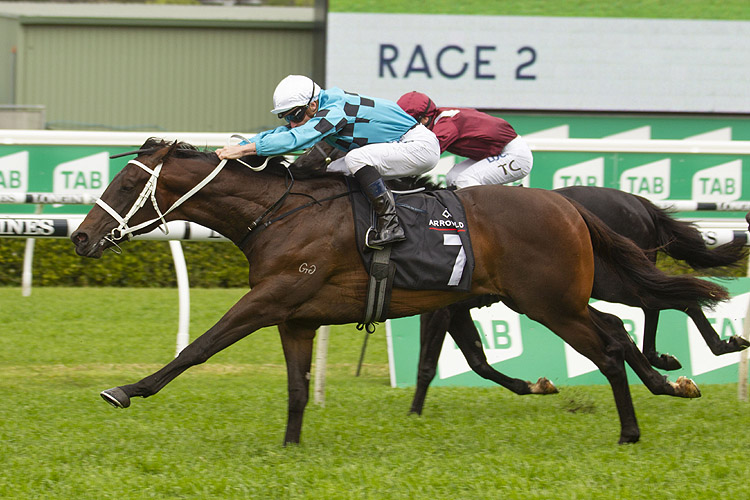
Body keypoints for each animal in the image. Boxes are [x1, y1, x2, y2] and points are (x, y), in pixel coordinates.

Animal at [70, 138, 728, 446]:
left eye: (125, 184)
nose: (79, 237)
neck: (280, 213)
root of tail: (567, 206)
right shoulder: (296, 317)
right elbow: (297, 388)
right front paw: (289, 446)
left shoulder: (272, 299)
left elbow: (198, 347)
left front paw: (126, 389)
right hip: (558, 298)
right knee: (621, 328)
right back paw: (669, 380)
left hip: (549, 302)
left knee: (615, 342)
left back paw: (634, 425)